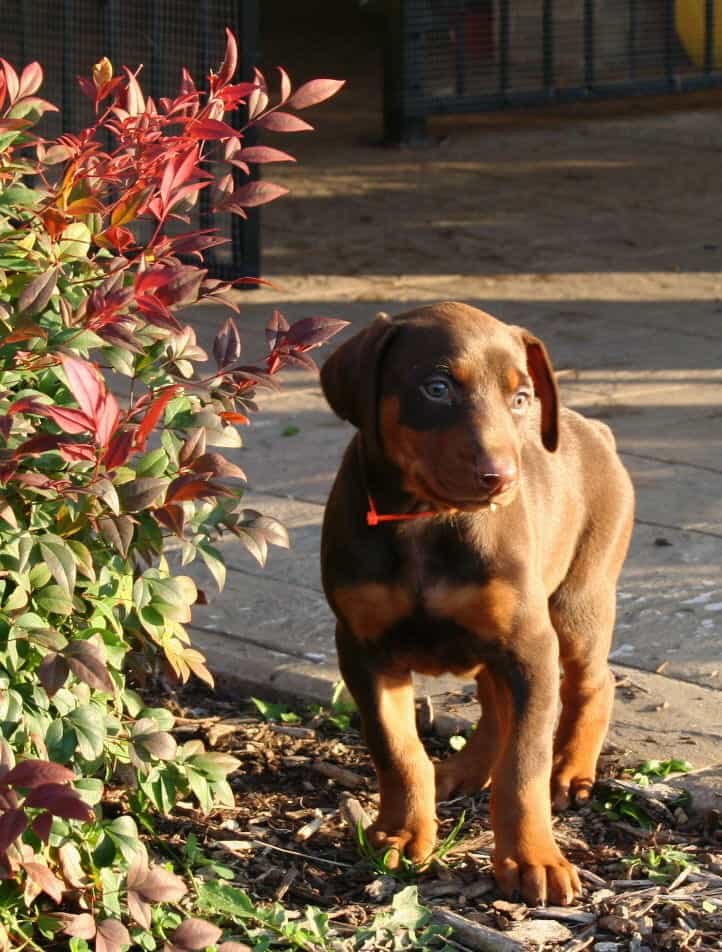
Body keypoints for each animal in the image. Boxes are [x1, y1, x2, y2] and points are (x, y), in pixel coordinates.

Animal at [320, 304, 632, 908]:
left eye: (521, 397)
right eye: (437, 388)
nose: (501, 478)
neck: (425, 518)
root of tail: (594, 429)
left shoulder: (530, 645)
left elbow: (523, 767)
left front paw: (533, 859)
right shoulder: (362, 648)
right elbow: (396, 749)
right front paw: (403, 832)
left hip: (576, 602)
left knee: (593, 683)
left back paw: (570, 771)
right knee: (495, 705)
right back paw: (463, 770)